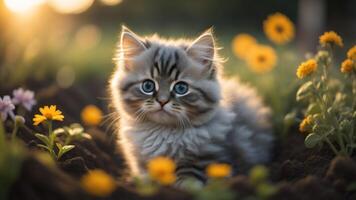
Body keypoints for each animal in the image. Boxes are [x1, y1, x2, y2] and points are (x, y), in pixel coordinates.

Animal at [110, 26, 274, 186]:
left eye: (181, 88)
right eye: (148, 86)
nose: (162, 101)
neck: (164, 132)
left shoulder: (207, 161)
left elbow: (189, 183)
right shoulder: (141, 163)